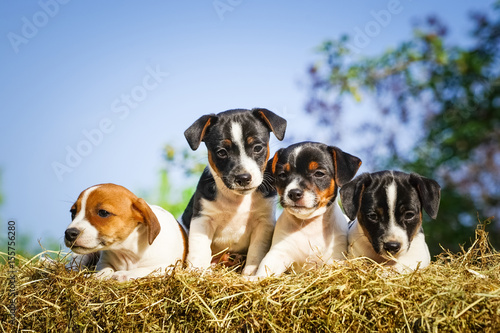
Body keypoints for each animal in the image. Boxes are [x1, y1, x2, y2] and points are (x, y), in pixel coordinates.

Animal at [183, 107, 286, 274]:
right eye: (221, 152)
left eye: (257, 148)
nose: (243, 178)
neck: (236, 200)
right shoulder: (202, 219)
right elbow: (200, 250)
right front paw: (198, 272)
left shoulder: (263, 223)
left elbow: (256, 253)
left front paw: (250, 273)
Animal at [256, 141, 362, 274]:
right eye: (282, 175)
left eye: (319, 173)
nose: (294, 193)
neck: (309, 225)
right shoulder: (278, 252)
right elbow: (264, 270)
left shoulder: (336, 255)